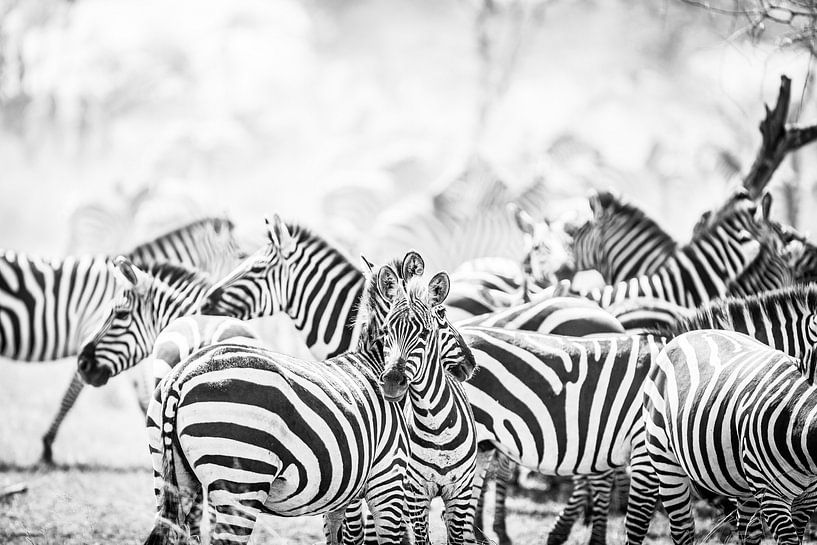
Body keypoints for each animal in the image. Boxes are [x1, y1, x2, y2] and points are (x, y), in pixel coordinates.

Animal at [142, 254, 468, 545]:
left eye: (430, 326)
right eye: (442, 317)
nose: (470, 363)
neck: (372, 363)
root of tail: (181, 376)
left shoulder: (344, 494)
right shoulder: (387, 481)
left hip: (171, 477)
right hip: (241, 484)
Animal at [643, 329, 817, 545]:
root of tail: (683, 335)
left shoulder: (808, 498)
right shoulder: (771, 493)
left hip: (744, 482)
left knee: (749, 531)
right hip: (664, 458)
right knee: (682, 527)